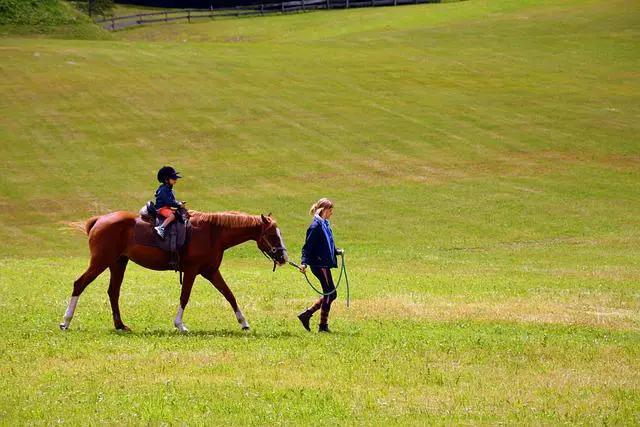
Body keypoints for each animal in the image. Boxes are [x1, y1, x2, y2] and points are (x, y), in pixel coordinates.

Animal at [57, 211, 288, 334]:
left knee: (113, 292)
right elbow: (185, 297)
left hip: (118, 263)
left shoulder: (211, 271)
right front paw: (180, 325)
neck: (213, 233)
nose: (283, 257)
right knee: (79, 284)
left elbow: (230, 295)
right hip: (101, 261)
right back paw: (65, 321)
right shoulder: (192, 271)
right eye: (272, 235)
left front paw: (244, 322)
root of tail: (99, 219)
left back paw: (120, 325)